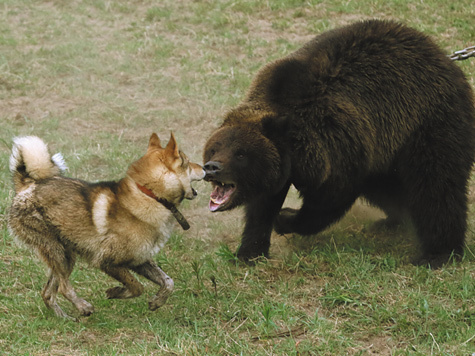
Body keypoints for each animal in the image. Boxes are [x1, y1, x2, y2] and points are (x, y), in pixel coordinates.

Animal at [7, 132, 205, 318]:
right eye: (186, 162)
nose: (205, 167)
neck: (150, 194)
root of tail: (27, 185)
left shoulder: (139, 259)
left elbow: (168, 281)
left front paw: (157, 301)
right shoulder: (107, 261)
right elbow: (136, 286)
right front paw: (116, 292)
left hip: (66, 255)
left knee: (48, 293)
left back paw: (65, 318)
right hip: (57, 252)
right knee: (63, 287)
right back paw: (83, 307)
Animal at [205, 18, 475, 264]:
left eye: (240, 153)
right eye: (214, 149)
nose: (212, 167)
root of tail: (445, 59)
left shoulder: (336, 143)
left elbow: (329, 200)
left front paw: (286, 218)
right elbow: (263, 204)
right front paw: (249, 251)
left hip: (428, 125)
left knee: (436, 186)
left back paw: (438, 254)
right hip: (386, 150)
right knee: (388, 187)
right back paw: (392, 220)